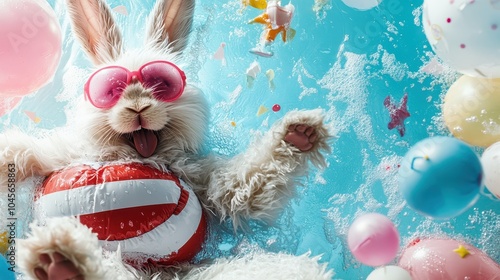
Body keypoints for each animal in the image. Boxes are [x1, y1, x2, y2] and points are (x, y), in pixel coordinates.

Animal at [0, 0, 336, 278]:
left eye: (162, 84)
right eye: (111, 89)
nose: (138, 107)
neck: (136, 156)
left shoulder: (212, 183)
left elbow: (249, 184)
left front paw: (299, 134)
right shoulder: (61, 155)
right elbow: (25, 154)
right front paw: (6, 161)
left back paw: (61, 263)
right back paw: (59, 261)